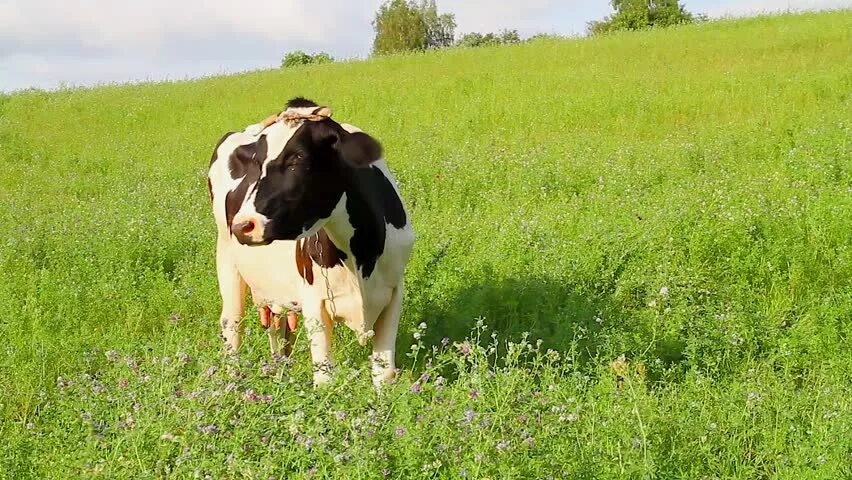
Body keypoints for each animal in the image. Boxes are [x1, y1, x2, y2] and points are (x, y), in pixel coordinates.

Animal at [207, 97, 415, 386]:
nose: (242, 225)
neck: (361, 258)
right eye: (257, 163)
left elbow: (383, 375)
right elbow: (324, 377)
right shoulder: (314, 302)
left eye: (298, 157)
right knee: (232, 323)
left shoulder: (394, 293)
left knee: (277, 328)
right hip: (227, 261)